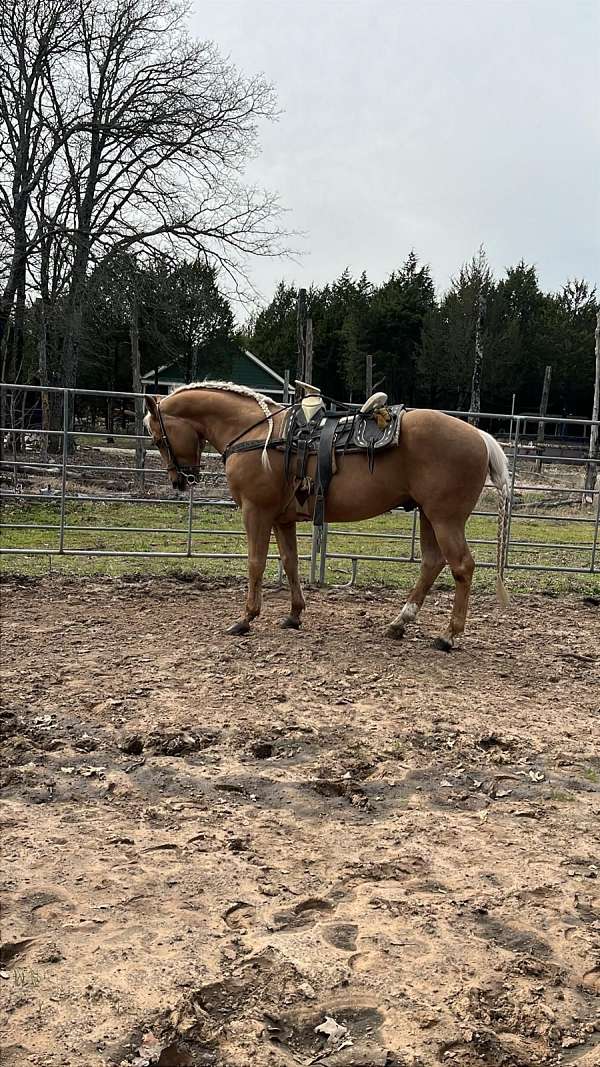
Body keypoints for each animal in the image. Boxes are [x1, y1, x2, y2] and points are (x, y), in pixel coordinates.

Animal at [144, 382, 511, 650]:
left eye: (159, 438)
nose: (180, 481)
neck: (258, 435)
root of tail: (480, 437)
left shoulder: (256, 512)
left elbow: (256, 563)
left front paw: (245, 619)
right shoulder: (282, 519)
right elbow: (290, 562)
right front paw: (294, 615)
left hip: (445, 518)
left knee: (462, 566)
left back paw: (448, 635)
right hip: (428, 516)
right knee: (432, 563)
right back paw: (398, 624)